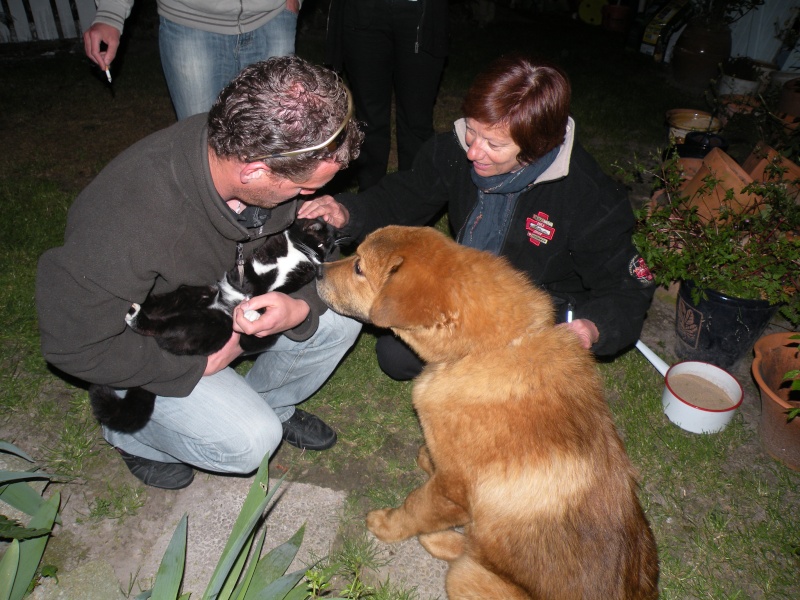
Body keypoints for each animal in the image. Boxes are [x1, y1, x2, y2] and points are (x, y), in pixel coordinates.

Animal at [90, 218, 340, 434]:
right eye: (321, 245)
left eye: (328, 250)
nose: (321, 260)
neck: (297, 255)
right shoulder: (259, 259)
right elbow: (249, 278)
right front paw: (248, 298)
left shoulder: (289, 284)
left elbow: (271, 294)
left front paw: (251, 310)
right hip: (196, 298)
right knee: (157, 317)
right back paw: (134, 310)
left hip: (208, 321)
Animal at [316, 226, 660, 600]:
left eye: (359, 267)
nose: (316, 270)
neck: (484, 351)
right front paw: (429, 458)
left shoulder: (451, 491)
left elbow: (414, 505)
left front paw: (387, 524)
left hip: (468, 576)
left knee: (464, 554)